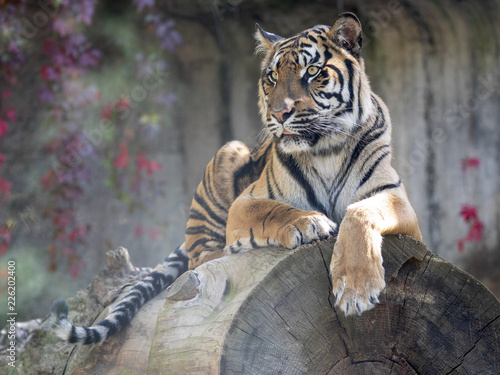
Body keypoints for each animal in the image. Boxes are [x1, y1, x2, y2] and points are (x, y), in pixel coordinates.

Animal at [52, 12, 422, 346]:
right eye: (272, 76)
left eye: (312, 72)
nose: (278, 114)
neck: (325, 149)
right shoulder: (246, 202)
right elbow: (275, 210)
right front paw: (308, 222)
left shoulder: (398, 202)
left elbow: (359, 212)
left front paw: (356, 288)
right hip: (228, 153)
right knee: (199, 258)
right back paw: (236, 246)